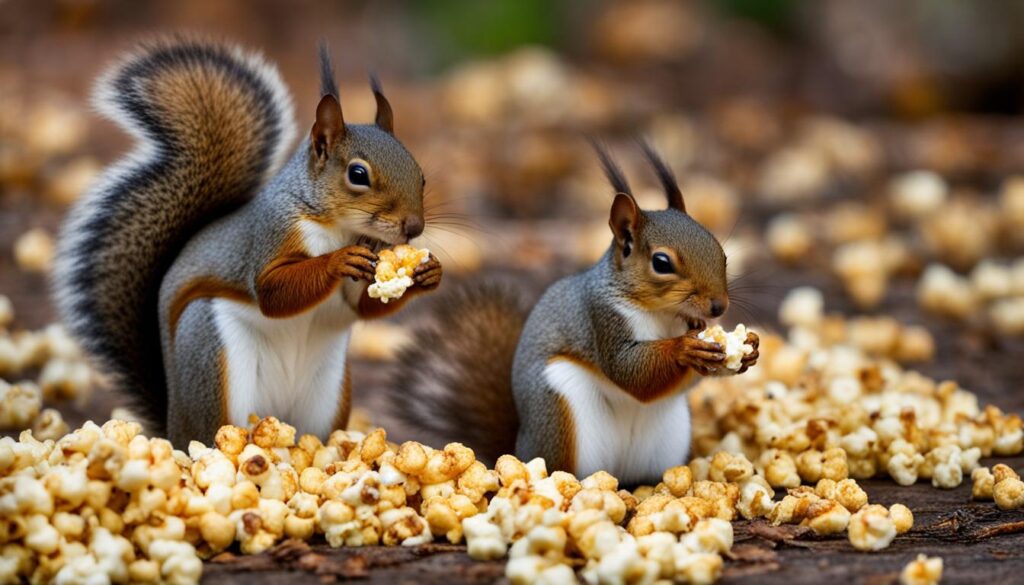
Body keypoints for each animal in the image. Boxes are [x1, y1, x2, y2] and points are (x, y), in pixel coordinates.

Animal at [54, 36, 440, 446]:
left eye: (421, 175)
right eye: (358, 174)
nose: (414, 227)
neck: (338, 228)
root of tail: (174, 428)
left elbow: (362, 305)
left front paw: (429, 272)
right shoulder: (270, 234)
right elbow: (271, 291)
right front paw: (337, 261)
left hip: (327, 392)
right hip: (214, 356)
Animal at [391, 143, 761, 485]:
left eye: (721, 252)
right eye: (661, 263)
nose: (718, 306)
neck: (664, 315)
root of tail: (519, 449)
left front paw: (749, 350)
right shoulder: (601, 318)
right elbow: (630, 373)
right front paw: (687, 348)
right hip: (561, 414)